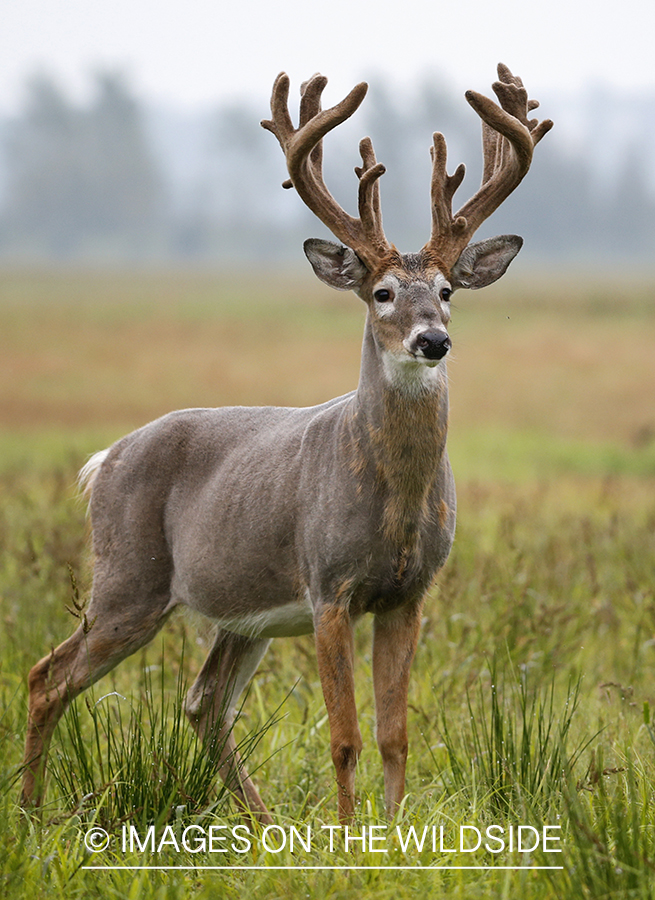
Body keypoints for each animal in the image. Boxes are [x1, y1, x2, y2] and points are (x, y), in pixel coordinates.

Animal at [20, 63, 552, 824]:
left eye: (448, 290)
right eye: (382, 293)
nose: (433, 340)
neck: (394, 501)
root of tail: (104, 459)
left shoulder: (409, 592)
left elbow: (395, 735)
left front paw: (392, 832)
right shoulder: (328, 584)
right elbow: (345, 736)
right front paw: (347, 833)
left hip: (242, 614)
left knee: (203, 703)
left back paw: (265, 823)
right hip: (129, 577)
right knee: (47, 676)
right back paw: (31, 811)